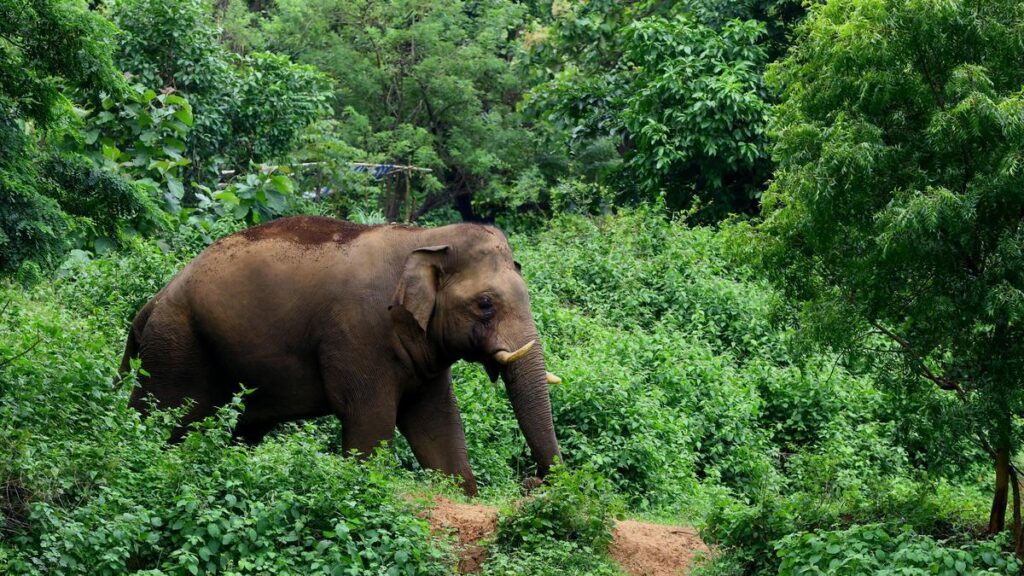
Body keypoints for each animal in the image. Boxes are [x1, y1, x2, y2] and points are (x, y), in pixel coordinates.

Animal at [120, 215, 561, 495]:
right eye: (485, 304)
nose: (532, 482)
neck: (427, 237)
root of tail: (150, 304)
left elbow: (437, 423)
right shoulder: (359, 334)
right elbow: (370, 420)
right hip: (177, 347)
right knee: (162, 417)